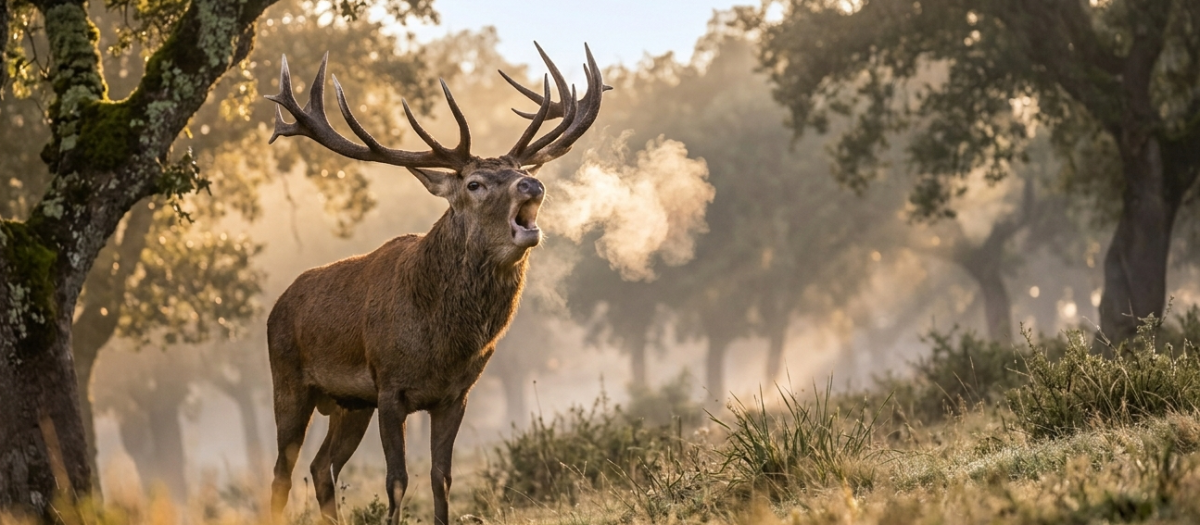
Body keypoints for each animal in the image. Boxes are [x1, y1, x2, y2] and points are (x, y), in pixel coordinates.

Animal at [263, 43, 605, 525]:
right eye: (475, 184)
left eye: (519, 168)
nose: (532, 184)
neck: (440, 343)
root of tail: (276, 306)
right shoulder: (390, 389)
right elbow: (397, 479)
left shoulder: (454, 395)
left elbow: (441, 478)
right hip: (289, 380)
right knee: (283, 472)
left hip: (351, 404)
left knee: (320, 465)